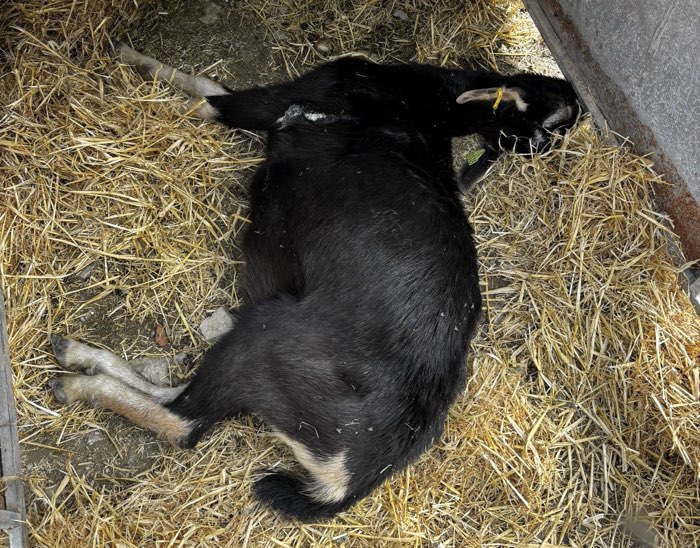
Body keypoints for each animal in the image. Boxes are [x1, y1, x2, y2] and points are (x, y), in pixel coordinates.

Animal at [49, 43, 579, 521]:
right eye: (552, 120)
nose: (574, 89)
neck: (427, 105)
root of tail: (351, 476)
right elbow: (210, 87)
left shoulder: (282, 98)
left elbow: (207, 99)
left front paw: (133, 65)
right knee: (177, 396)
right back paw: (78, 357)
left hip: (267, 335)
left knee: (184, 421)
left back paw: (75, 382)